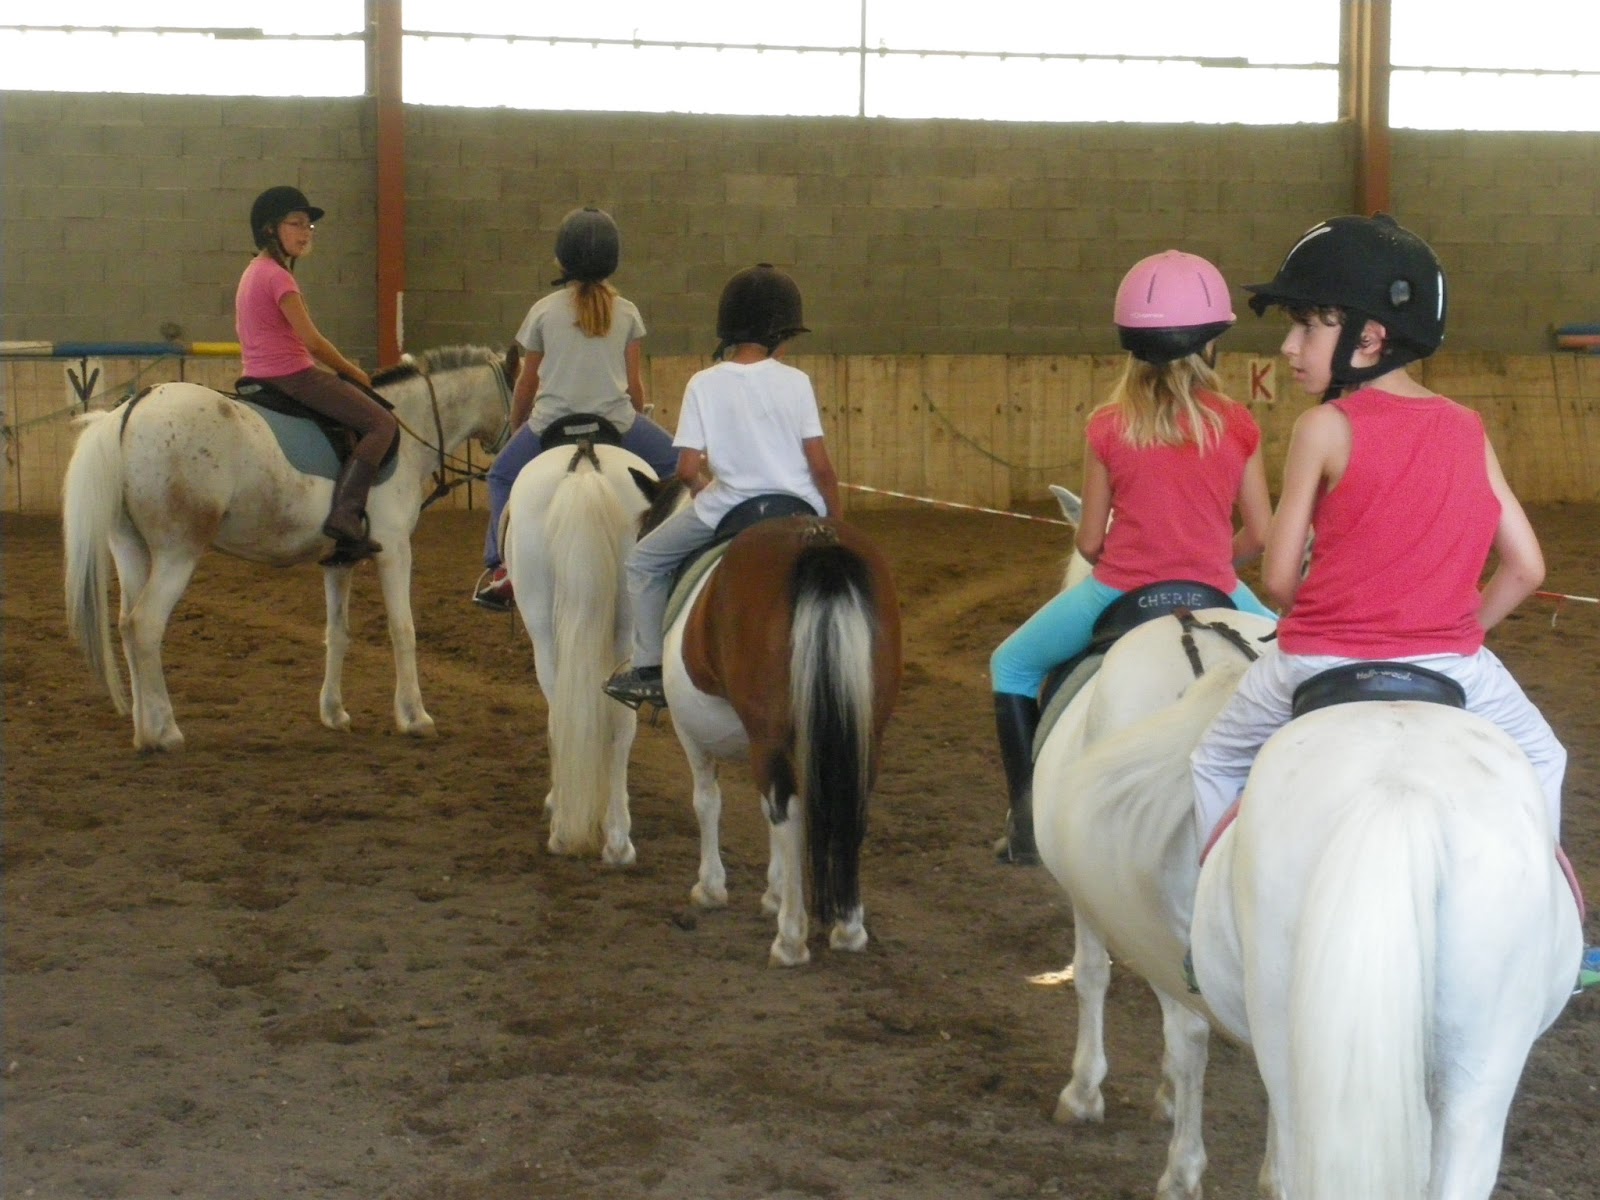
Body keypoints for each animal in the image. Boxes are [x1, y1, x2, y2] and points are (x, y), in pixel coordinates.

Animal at [62, 345, 518, 751]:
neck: (408, 429)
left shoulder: (339, 561)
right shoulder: (394, 550)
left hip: (131, 549)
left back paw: (144, 731)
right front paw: (415, 718)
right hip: (178, 553)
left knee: (125, 626)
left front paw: (334, 713)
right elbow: (403, 630)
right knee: (145, 626)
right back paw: (166, 733)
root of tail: (129, 410)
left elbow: (338, 633)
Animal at [498, 437, 660, 865]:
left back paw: (567, 828)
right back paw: (617, 838)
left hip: (543, 630)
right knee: (619, 721)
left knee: (560, 712)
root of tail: (585, 467)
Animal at [661, 513, 902, 966]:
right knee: (849, 810)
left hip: (769, 741)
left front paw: (712, 887)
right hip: (866, 735)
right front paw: (773, 892)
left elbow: (707, 801)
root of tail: (818, 541)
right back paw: (849, 928)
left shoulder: (693, 733)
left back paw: (790, 939)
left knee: (787, 815)